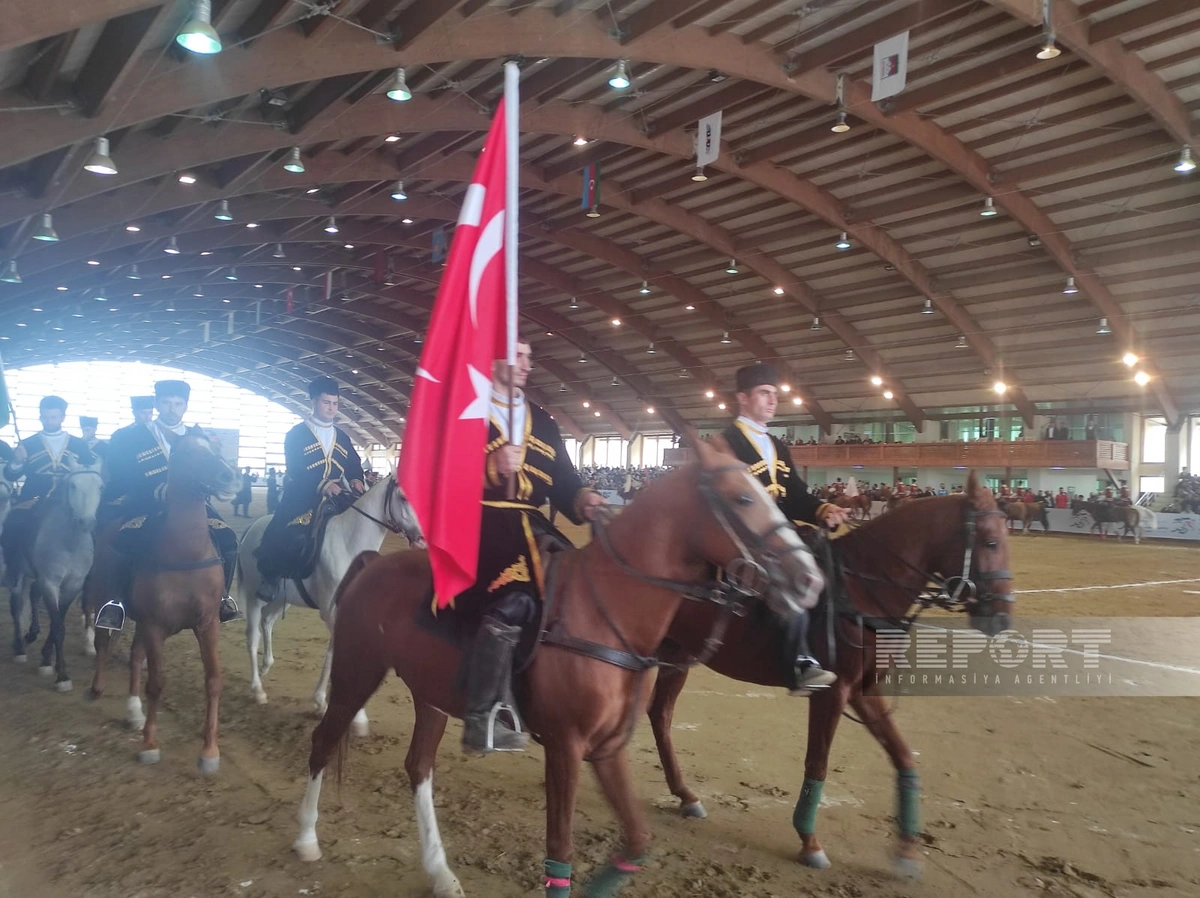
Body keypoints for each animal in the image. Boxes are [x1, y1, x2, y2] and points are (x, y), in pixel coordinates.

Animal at [24, 466, 105, 691]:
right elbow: (58, 626)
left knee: (33, 594)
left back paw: (33, 633)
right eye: (73, 485)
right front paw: (62, 676)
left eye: (100, 487)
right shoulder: (50, 583)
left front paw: (46, 658)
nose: (87, 522)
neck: (70, 544)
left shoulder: (73, 586)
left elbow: (57, 621)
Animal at [88, 428, 239, 773]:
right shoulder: (155, 625)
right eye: (188, 453)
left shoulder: (207, 624)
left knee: (134, 656)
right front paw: (149, 745)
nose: (229, 476)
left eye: (216, 446)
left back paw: (133, 711)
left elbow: (213, 680)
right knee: (103, 642)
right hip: (107, 598)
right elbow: (156, 682)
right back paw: (98, 688)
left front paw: (209, 751)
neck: (186, 553)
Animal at [234, 474, 423, 734]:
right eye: (403, 497)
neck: (349, 545)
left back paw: (266, 665)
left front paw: (322, 702)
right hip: (254, 596)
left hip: (282, 599)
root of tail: (252, 529)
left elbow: (335, 655)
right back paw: (258, 690)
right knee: (252, 638)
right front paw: (353, 714)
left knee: (267, 622)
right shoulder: (333, 613)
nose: (423, 539)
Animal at [290, 439, 822, 898]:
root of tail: (373, 564)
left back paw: (440, 873)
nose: (809, 579)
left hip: (430, 694)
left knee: (418, 767)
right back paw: (306, 839)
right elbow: (560, 850)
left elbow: (638, 840)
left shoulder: (607, 748)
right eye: (743, 498)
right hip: (357, 670)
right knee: (324, 741)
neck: (607, 611)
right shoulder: (567, 746)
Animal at [646, 470, 1013, 878]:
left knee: (659, 715)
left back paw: (685, 795)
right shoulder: (832, 692)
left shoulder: (863, 691)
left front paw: (907, 849)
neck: (862, 588)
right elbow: (817, 762)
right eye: (991, 541)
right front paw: (809, 841)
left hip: (677, 653)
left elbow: (903, 755)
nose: (1001, 618)